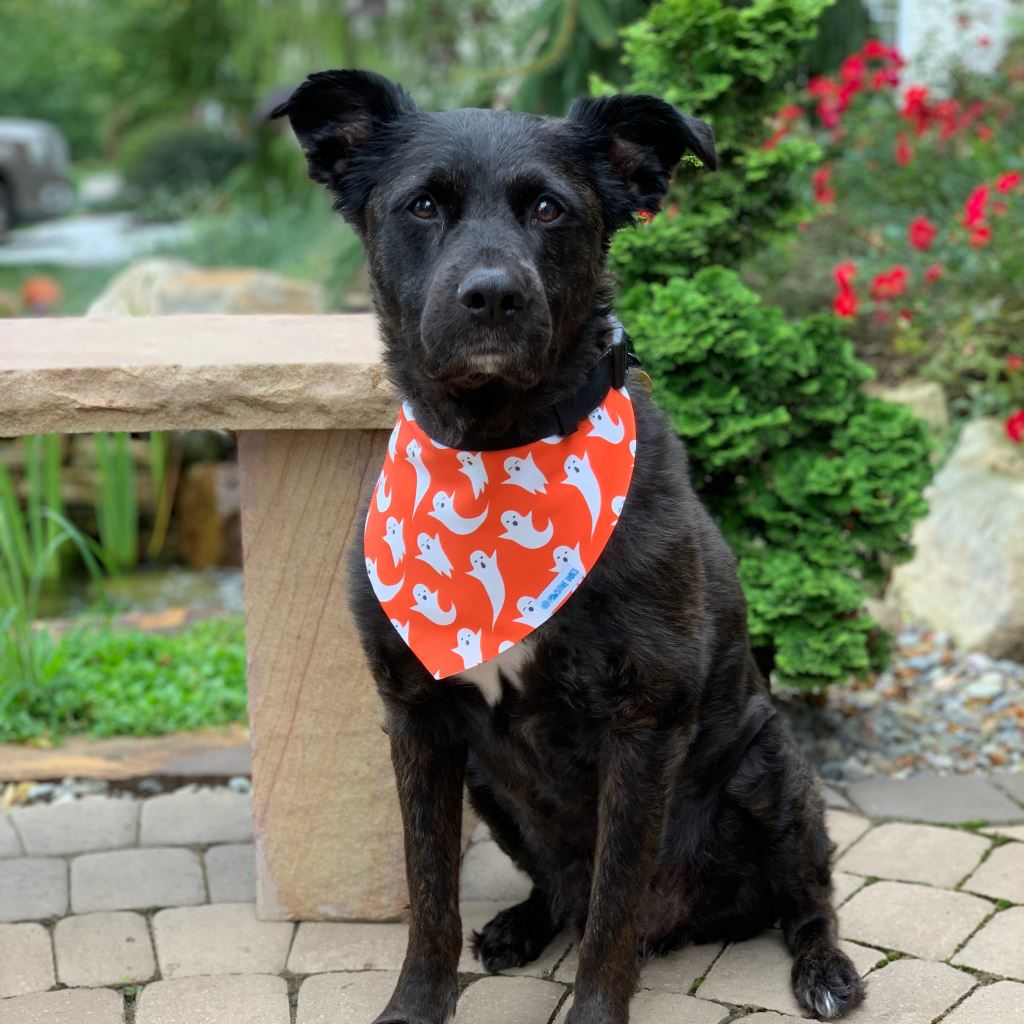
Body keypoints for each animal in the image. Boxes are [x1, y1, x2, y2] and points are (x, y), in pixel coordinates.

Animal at [274, 68, 864, 1019]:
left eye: (549, 209)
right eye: (423, 204)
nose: (492, 296)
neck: (495, 450)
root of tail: (692, 924)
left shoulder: (642, 725)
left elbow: (612, 913)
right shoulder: (417, 717)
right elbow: (430, 895)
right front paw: (414, 1005)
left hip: (770, 770)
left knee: (805, 898)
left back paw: (824, 970)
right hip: (491, 786)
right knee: (557, 889)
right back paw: (521, 924)